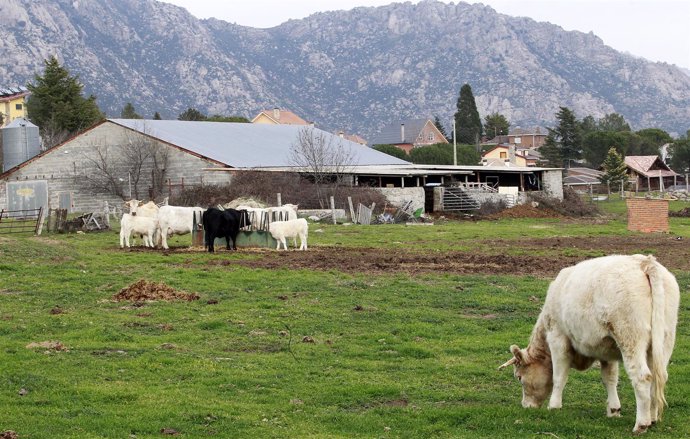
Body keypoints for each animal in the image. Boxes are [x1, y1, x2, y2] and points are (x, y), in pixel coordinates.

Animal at [500, 254, 676, 436]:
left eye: (519, 377)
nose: (526, 406)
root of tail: (644, 261)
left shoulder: (558, 339)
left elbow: (559, 376)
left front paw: (554, 406)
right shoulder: (607, 350)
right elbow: (609, 378)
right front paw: (613, 410)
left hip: (630, 338)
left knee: (642, 377)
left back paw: (641, 424)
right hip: (663, 341)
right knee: (658, 376)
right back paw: (652, 418)